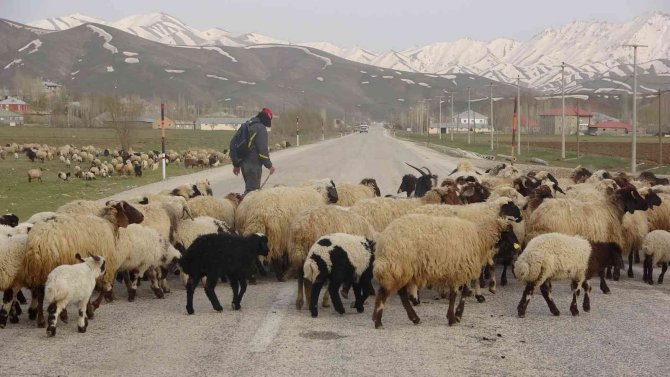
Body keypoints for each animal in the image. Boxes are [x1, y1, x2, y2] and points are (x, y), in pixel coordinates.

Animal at [372, 213, 516, 328]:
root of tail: (383, 242)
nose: (517, 251)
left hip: (402, 269)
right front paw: (452, 318)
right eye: (509, 233)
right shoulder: (458, 270)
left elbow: (464, 292)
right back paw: (378, 322)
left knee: (400, 293)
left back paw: (414, 318)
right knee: (385, 292)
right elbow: (454, 295)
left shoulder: (461, 270)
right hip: (398, 265)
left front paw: (457, 315)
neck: (479, 237)